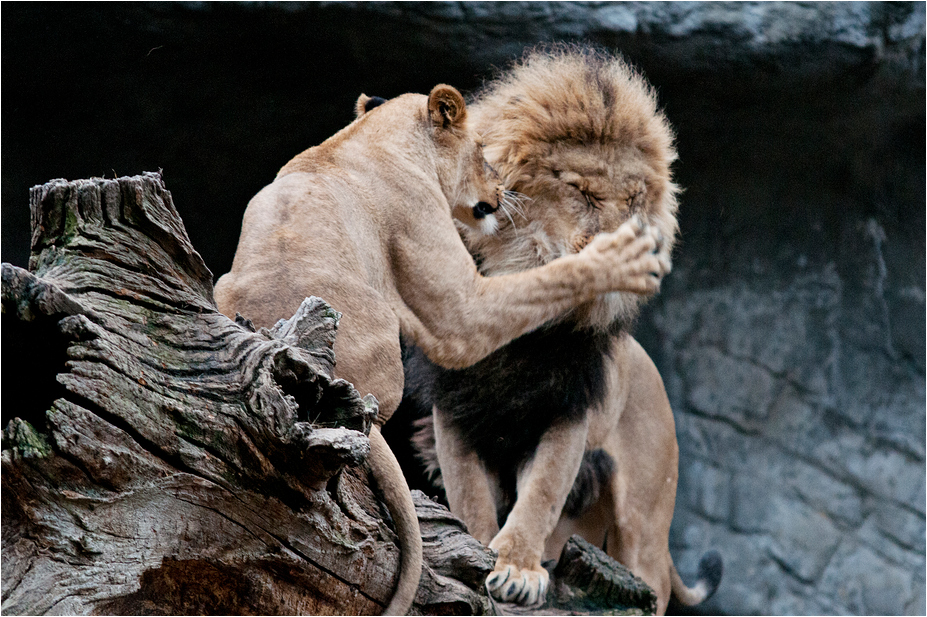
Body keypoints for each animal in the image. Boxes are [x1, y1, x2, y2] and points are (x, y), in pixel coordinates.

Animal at [214, 83, 672, 615]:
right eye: (482, 152)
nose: (502, 191)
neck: (363, 140)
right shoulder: (452, 299)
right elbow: (545, 281)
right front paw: (620, 258)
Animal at [404, 47, 722, 615]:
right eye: (582, 192)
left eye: (635, 198)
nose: (631, 243)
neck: (523, 324)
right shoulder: (456, 405)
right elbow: (468, 494)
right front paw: (476, 551)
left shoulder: (568, 406)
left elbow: (542, 492)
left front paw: (517, 567)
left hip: (644, 522)